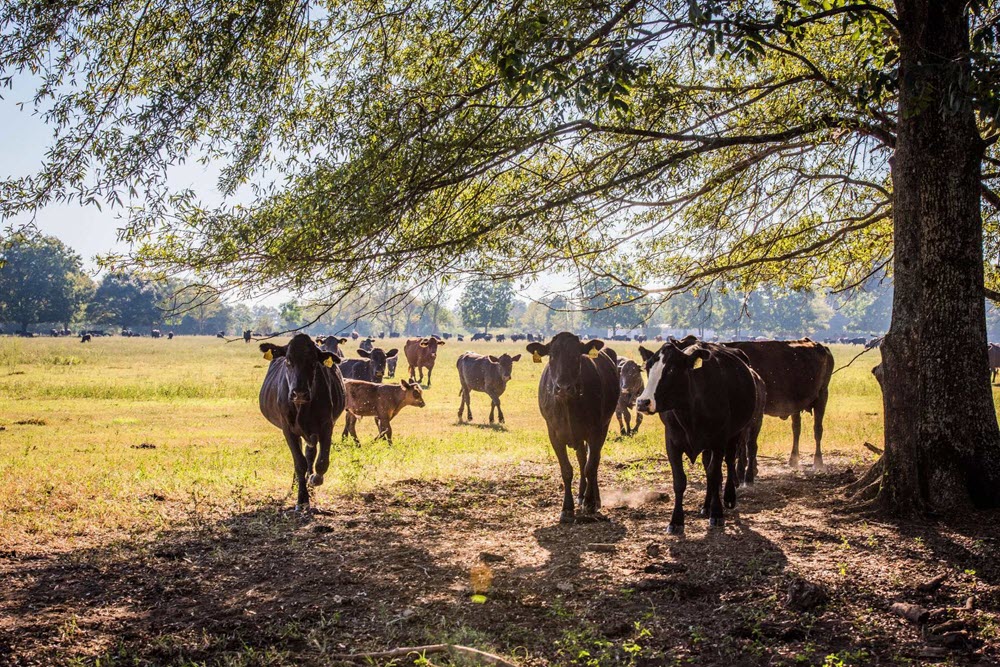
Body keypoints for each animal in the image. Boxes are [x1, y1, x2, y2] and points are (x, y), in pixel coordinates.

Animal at [260, 334, 346, 512]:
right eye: (288, 361)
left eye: (313, 362)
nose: (299, 393)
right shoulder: (288, 429)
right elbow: (299, 463)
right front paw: (302, 499)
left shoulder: (326, 425)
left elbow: (321, 462)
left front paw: (314, 479)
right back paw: (296, 486)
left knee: (310, 454)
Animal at [524, 332, 616, 524]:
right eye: (552, 356)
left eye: (576, 356)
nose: (563, 388)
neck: (568, 405)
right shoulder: (554, 433)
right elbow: (567, 470)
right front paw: (567, 509)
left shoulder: (596, 431)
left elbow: (591, 467)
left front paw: (590, 503)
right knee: (581, 459)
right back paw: (580, 495)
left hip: (602, 427)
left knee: (592, 461)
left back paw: (593, 498)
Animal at [640, 340, 756, 532]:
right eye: (648, 367)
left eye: (671, 369)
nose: (642, 402)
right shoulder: (672, 443)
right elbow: (680, 480)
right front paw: (676, 521)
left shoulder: (719, 441)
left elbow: (715, 474)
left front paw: (717, 513)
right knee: (708, 467)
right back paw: (706, 505)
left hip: (735, 434)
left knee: (729, 461)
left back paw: (728, 498)